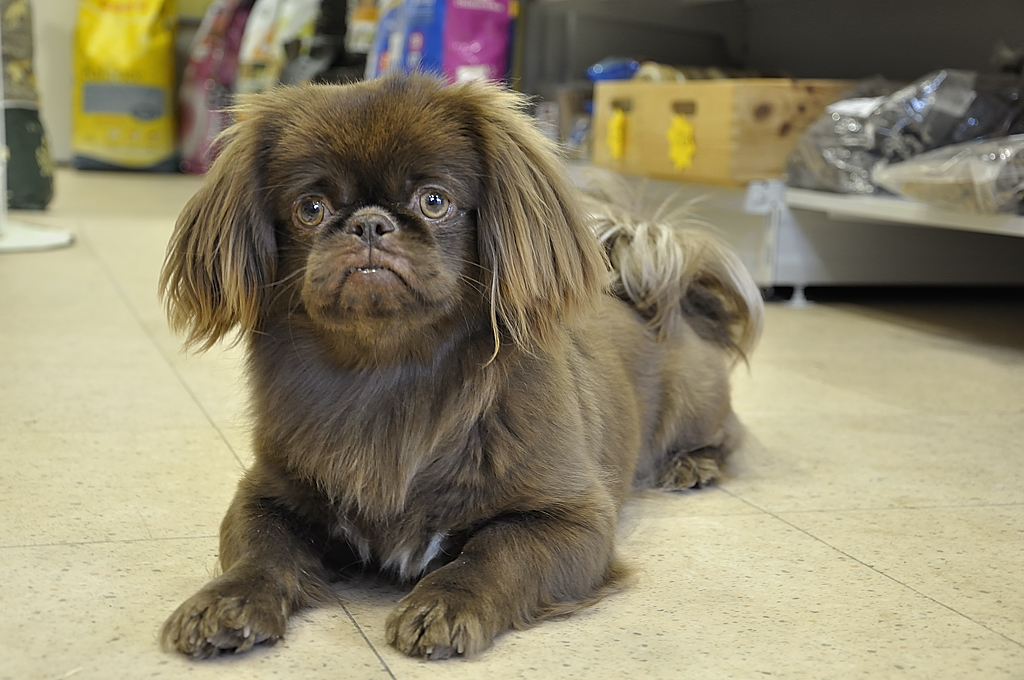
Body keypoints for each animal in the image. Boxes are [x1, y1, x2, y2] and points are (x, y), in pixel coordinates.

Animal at [155, 73, 757, 659]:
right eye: (311, 209)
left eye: (434, 201)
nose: (369, 224)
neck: (389, 372)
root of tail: (666, 300)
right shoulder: (266, 495)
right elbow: (259, 551)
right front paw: (227, 602)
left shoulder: (573, 517)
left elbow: (494, 551)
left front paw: (442, 606)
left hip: (692, 404)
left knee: (728, 435)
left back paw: (692, 467)